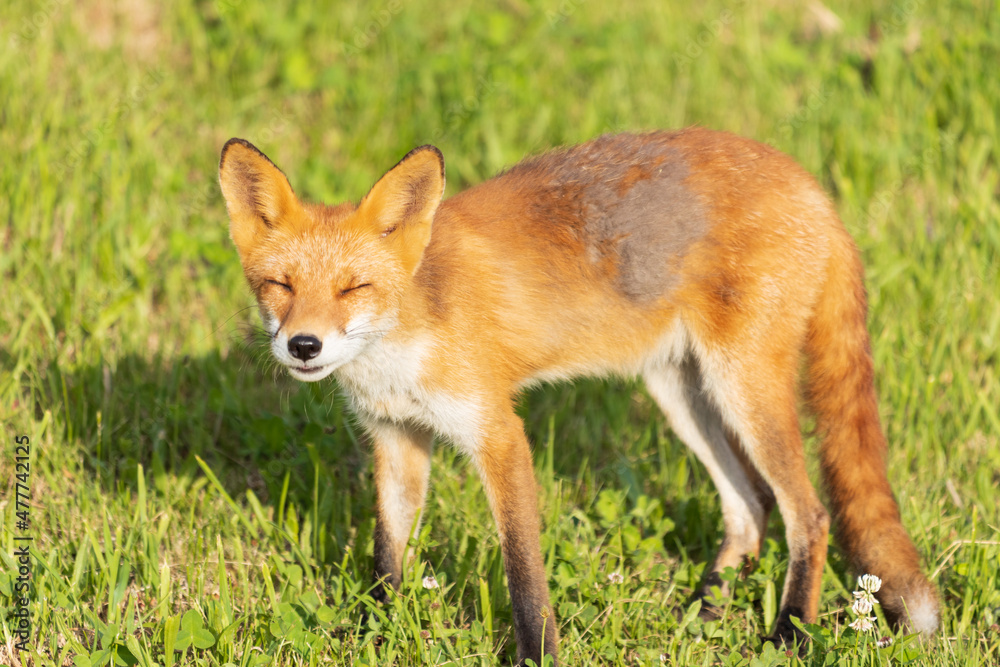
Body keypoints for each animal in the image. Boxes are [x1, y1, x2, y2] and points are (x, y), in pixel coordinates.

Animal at [217, 128, 936, 664]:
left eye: (353, 288)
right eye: (280, 285)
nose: (303, 346)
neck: (405, 338)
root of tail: (812, 186)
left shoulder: (499, 435)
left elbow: (523, 574)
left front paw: (537, 655)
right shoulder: (398, 439)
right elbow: (387, 557)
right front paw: (377, 634)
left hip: (743, 387)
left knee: (807, 513)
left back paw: (788, 632)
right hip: (682, 391)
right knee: (750, 506)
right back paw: (705, 608)